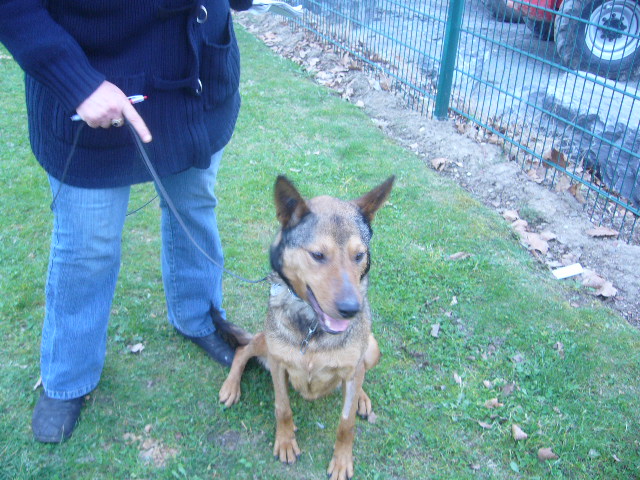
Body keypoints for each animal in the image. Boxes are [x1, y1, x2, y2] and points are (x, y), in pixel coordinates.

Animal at [218, 176, 392, 480]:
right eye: (318, 254)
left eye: (359, 255)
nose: (351, 309)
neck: (313, 329)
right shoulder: (278, 364)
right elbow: (282, 408)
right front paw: (286, 441)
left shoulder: (352, 368)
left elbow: (346, 423)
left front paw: (342, 460)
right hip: (265, 342)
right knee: (243, 349)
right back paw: (231, 386)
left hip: (372, 347)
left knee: (359, 374)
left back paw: (361, 396)